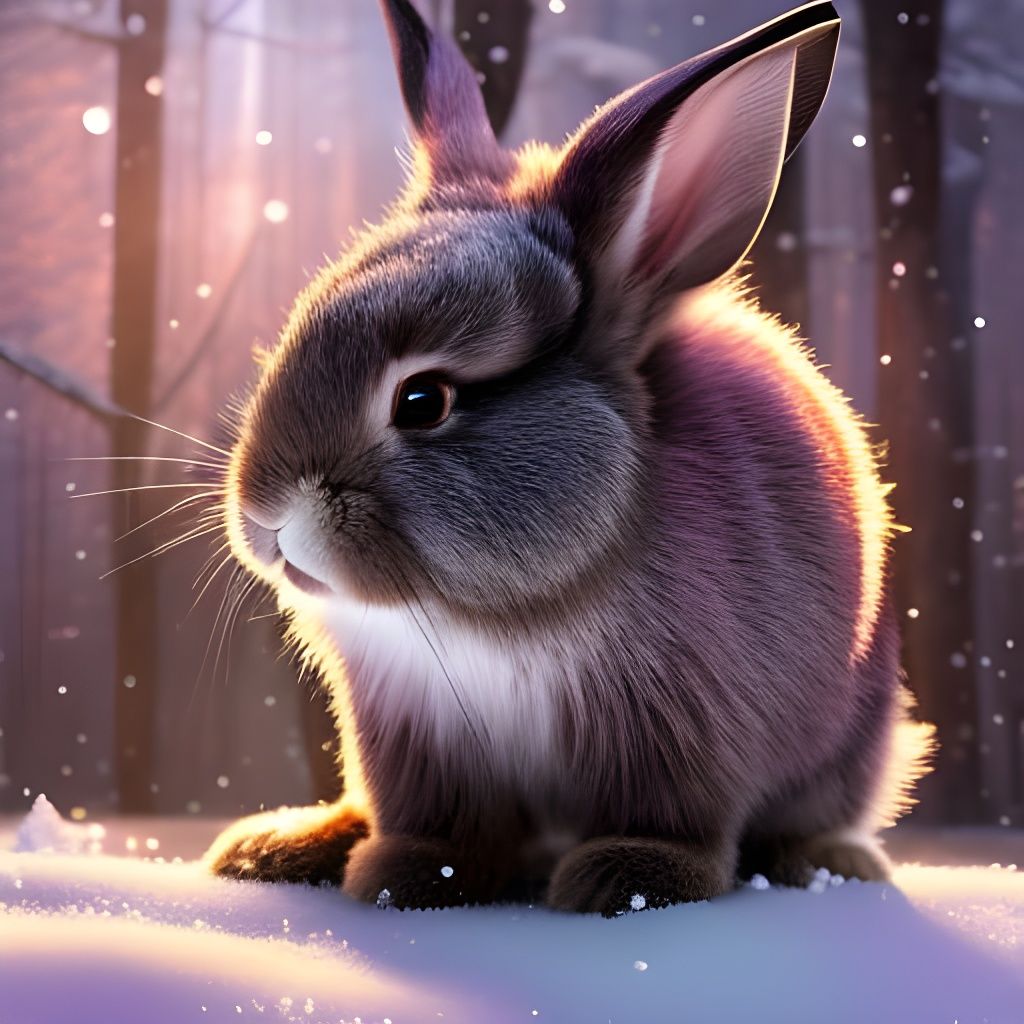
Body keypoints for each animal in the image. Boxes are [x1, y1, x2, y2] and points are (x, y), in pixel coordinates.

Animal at [204, 0, 934, 915]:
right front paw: (410, 874)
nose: (266, 521)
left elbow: (674, 821)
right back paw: (281, 844)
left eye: (424, 401)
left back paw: (826, 862)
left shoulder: (675, 724)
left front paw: (626, 877)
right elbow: (443, 828)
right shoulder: (413, 733)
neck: (489, 619)